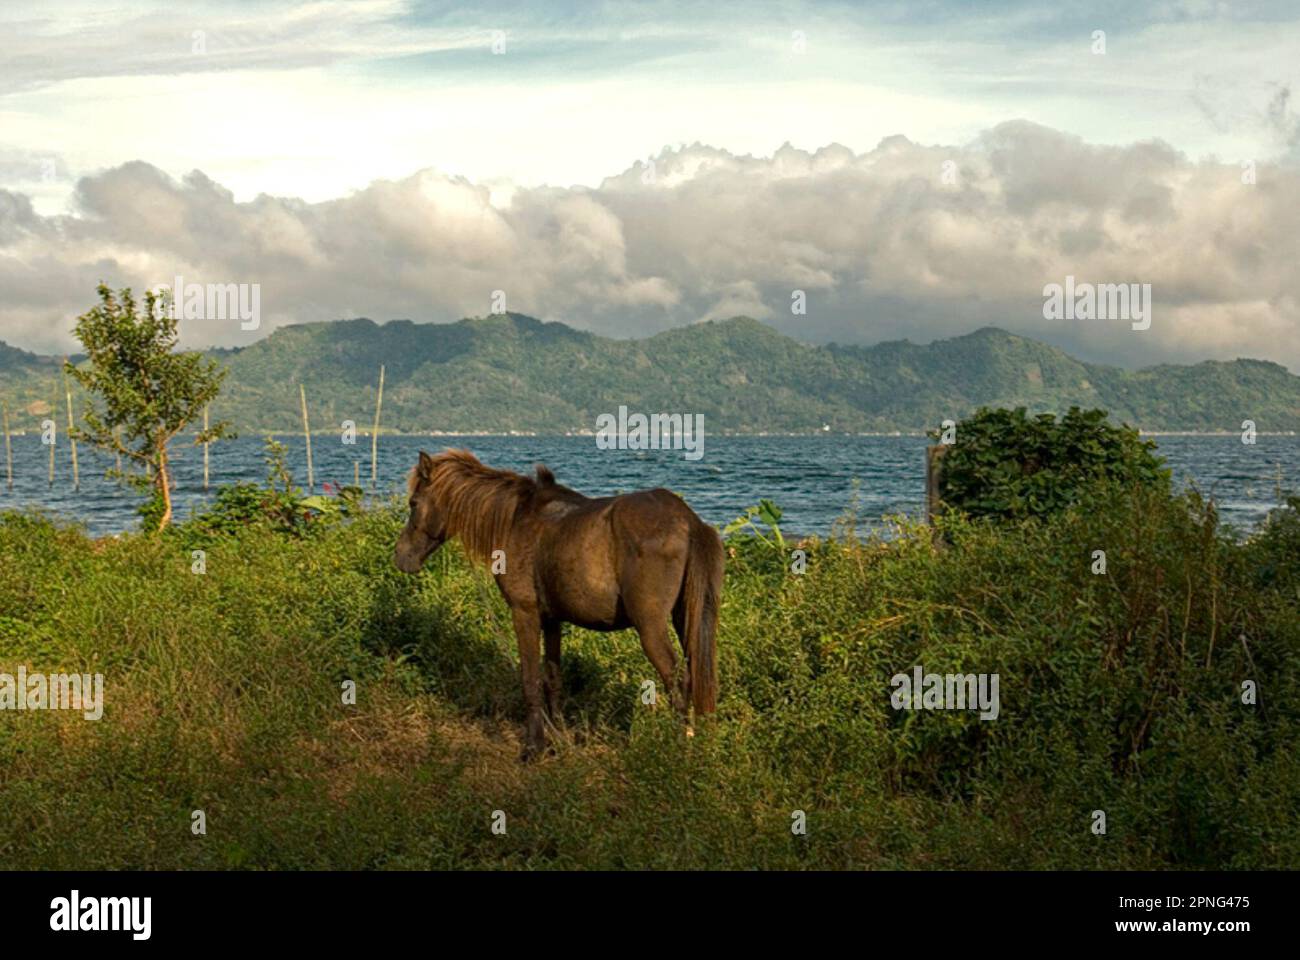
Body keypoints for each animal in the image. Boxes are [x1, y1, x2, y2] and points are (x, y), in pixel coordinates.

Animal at [390, 447, 728, 754]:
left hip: (651, 626)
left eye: (414, 503)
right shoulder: (552, 619)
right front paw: (558, 737)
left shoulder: (524, 612)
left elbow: (530, 680)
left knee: (678, 680)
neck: (515, 519)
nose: (402, 556)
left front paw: (534, 746)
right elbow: (552, 678)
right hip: (686, 618)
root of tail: (688, 520)